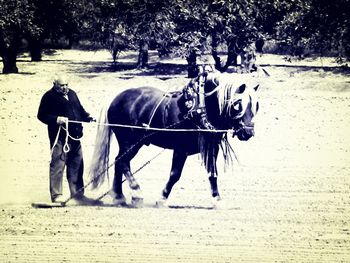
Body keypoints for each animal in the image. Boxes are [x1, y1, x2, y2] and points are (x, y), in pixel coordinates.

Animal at [90, 70, 260, 208]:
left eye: (256, 106)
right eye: (237, 104)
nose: (248, 133)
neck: (200, 108)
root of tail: (115, 98)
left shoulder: (211, 146)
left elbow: (212, 173)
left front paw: (217, 200)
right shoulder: (180, 148)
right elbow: (175, 175)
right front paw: (162, 199)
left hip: (132, 143)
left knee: (119, 162)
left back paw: (119, 197)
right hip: (129, 142)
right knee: (123, 162)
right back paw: (136, 192)